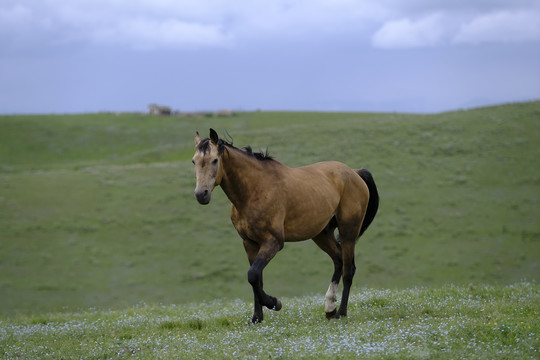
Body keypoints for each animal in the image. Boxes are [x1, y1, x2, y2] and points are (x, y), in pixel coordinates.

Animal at [192, 128, 378, 322]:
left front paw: (274, 303)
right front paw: (257, 317)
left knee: (348, 270)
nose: (201, 194)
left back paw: (341, 312)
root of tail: (354, 172)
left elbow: (252, 275)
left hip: (348, 231)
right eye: (194, 161)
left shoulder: (273, 242)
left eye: (215, 160)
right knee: (339, 260)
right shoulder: (249, 242)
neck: (255, 190)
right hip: (322, 234)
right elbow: (256, 278)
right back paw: (329, 308)